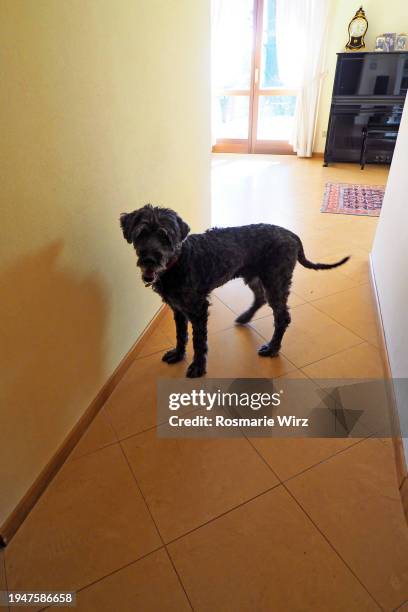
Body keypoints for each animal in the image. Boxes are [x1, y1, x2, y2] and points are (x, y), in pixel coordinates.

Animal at [119, 206, 350, 378]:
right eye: (141, 233)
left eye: (165, 236)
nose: (150, 259)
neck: (179, 259)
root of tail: (290, 234)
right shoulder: (178, 308)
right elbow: (180, 334)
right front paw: (177, 354)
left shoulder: (198, 309)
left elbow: (198, 341)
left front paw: (198, 366)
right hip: (254, 276)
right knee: (260, 298)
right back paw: (245, 317)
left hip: (276, 281)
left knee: (282, 316)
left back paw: (273, 348)